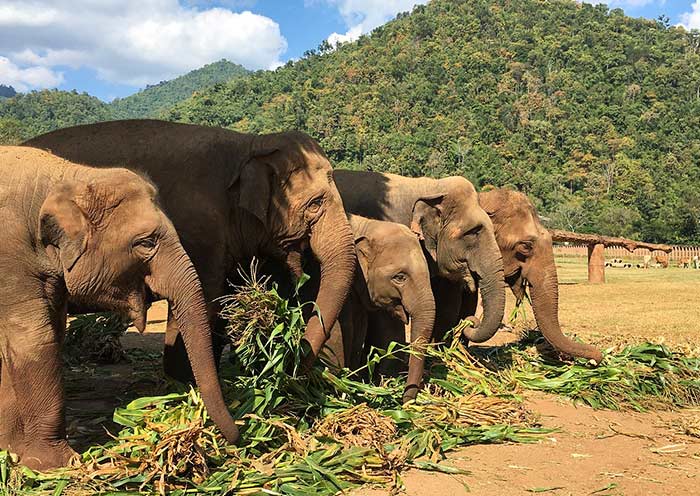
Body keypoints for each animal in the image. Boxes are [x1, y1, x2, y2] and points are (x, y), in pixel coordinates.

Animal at [0, 146, 237, 471]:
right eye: (146, 242)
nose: (238, 438)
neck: (66, 177)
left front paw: (10, 452)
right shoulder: (10, 259)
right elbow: (35, 340)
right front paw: (55, 465)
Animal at [25, 120, 356, 378]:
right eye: (315, 204)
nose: (293, 369)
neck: (249, 144)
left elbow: (222, 299)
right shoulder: (198, 230)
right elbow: (203, 299)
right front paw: (183, 384)